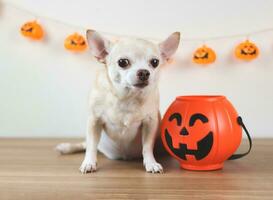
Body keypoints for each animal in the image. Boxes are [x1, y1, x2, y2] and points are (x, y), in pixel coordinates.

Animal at [55, 30, 178, 173]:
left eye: (155, 62)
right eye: (122, 62)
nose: (144, 72)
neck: (127, 97)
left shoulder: (150, 123)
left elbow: (147, 147)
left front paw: (151, 163)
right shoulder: (94, 121)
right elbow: (91, 146)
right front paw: (89, 163)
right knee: (86, 144)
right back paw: (66, 147)